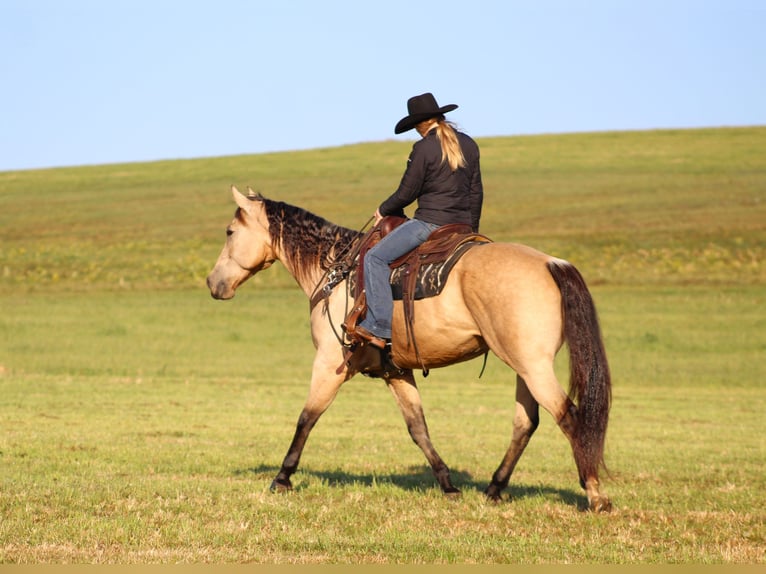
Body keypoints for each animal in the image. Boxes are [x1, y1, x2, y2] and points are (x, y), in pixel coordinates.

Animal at [207, 187, 616, 516]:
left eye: (229, 232)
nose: (213, 283)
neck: (337, 273)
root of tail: (551, 263)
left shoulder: (329, 363)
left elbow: (307, 418)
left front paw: (282, 478)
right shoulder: (396, 371)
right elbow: (418, 427)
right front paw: (448, 485)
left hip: (533, 367)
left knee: (570, 418)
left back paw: (595, 494)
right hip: (525, 367)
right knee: (525, 423)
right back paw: (495, 488)